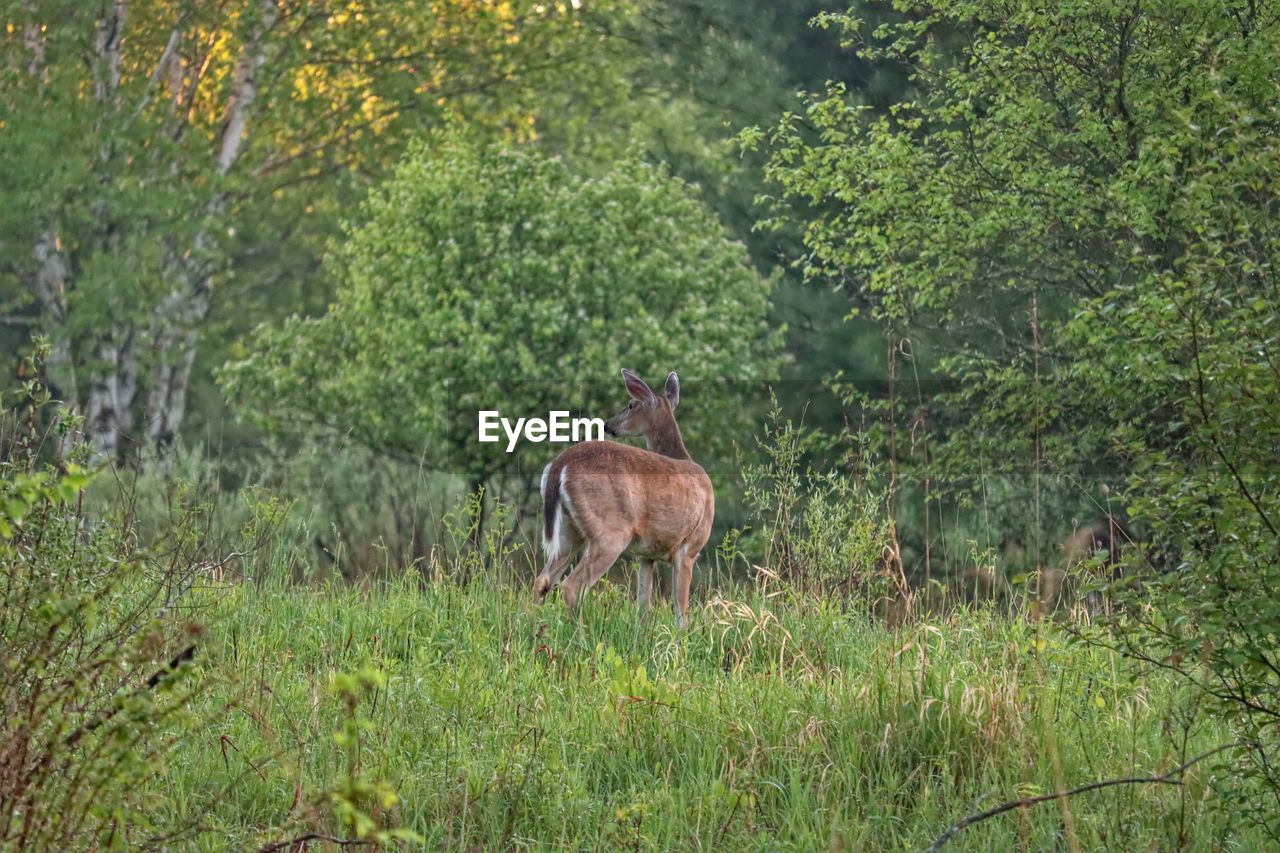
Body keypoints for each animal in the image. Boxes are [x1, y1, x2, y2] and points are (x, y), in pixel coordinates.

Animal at [527, 368, 711, 627]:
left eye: (630, 405)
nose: (608, 425)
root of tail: (561, 464)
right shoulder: (689, 549)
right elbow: (680, 613)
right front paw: (681, 637)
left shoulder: (646, 555)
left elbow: (643, 606)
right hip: (611, 531)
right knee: (571, 586)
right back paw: (582, 633)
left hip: (568, 532)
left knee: (542, 581)